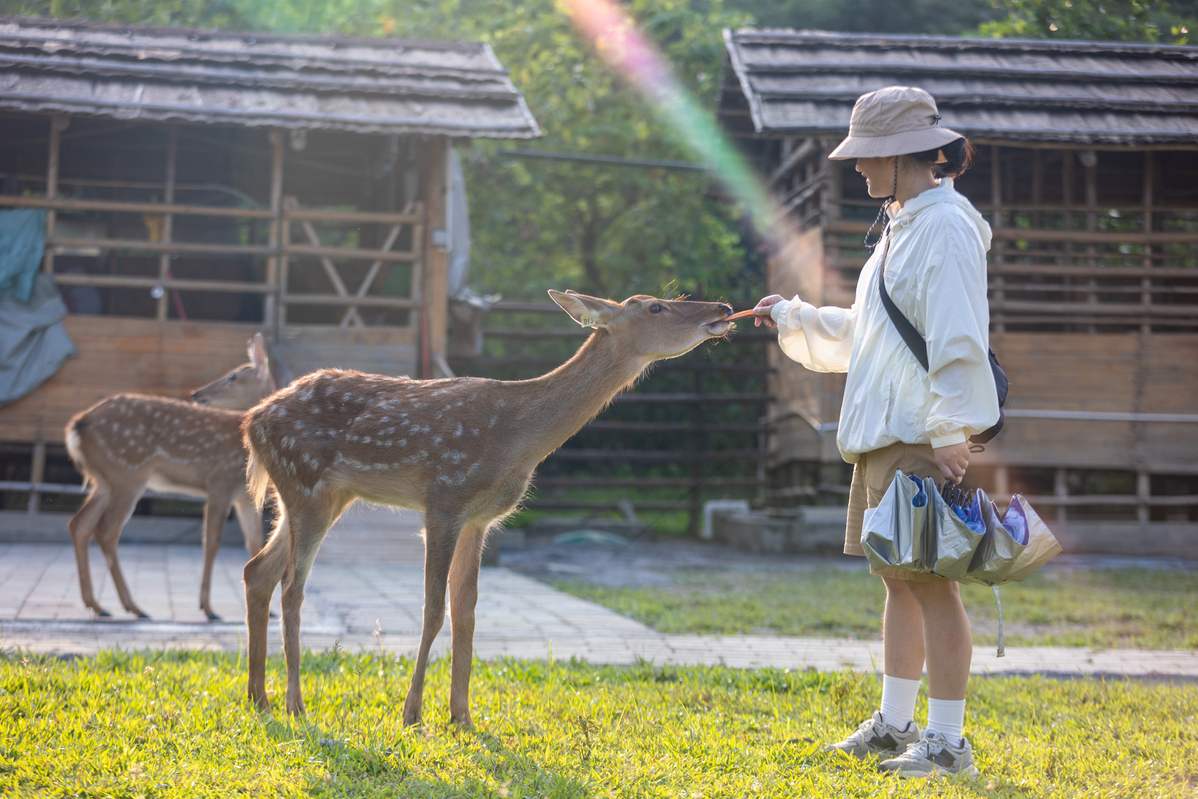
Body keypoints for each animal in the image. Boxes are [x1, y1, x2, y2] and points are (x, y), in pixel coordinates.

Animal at [67, 335, 277, 622]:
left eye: (233, 376)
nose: (197, 394)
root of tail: (76, 426)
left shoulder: (244, 498)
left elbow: (255, 545)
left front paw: (270, 611)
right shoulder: (219, 483)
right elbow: (211, 543)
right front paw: (208, 608)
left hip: (105, 481)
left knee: (80, 525)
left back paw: (98, 606)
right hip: (128, 473)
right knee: (106, 531)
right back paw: (133, 606)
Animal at [239, 292, 733, 723]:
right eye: (656, 307)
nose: (724, 308)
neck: (517, 439)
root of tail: (251, 420)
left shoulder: (480, 519)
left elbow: (467, 611)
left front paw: (462, 717)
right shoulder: (444, 499)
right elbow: (434, 609)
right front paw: (412, 714)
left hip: (325, 495)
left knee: (257, 571)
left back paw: (259, 698)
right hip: (305, 483)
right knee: (291, 586)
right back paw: (295, 704)